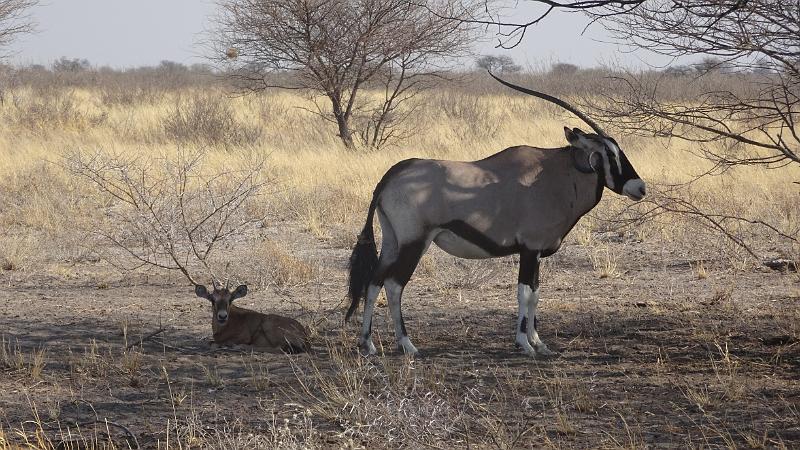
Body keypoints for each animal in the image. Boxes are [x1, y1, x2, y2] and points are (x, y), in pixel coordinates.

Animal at [344, 74, 644, 358]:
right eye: (608, 154)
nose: (640, 188)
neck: (555, 174)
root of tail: (392, 175)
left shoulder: (535, 253)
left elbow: (536, 294)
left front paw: (540, 343)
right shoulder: (530, 249)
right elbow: (525, 292)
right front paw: (524, 344)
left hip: (393, 242)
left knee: (374, 281)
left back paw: (368, 343)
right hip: (414, 242)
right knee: (394, 285)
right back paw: (407, 345)